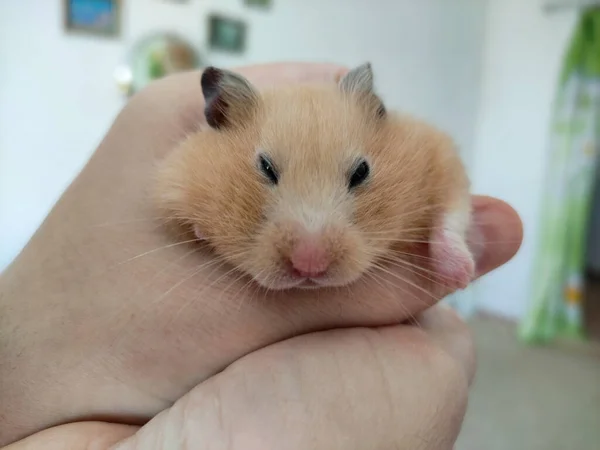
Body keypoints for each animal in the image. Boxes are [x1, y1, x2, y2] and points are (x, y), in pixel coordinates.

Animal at [155, 62, 474, 292]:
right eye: (265, 167)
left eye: (361, 172)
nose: (310, 263)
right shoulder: (171, 180)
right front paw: (201, 230)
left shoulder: (440, 156)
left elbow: (452, 212)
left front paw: (459, 277)